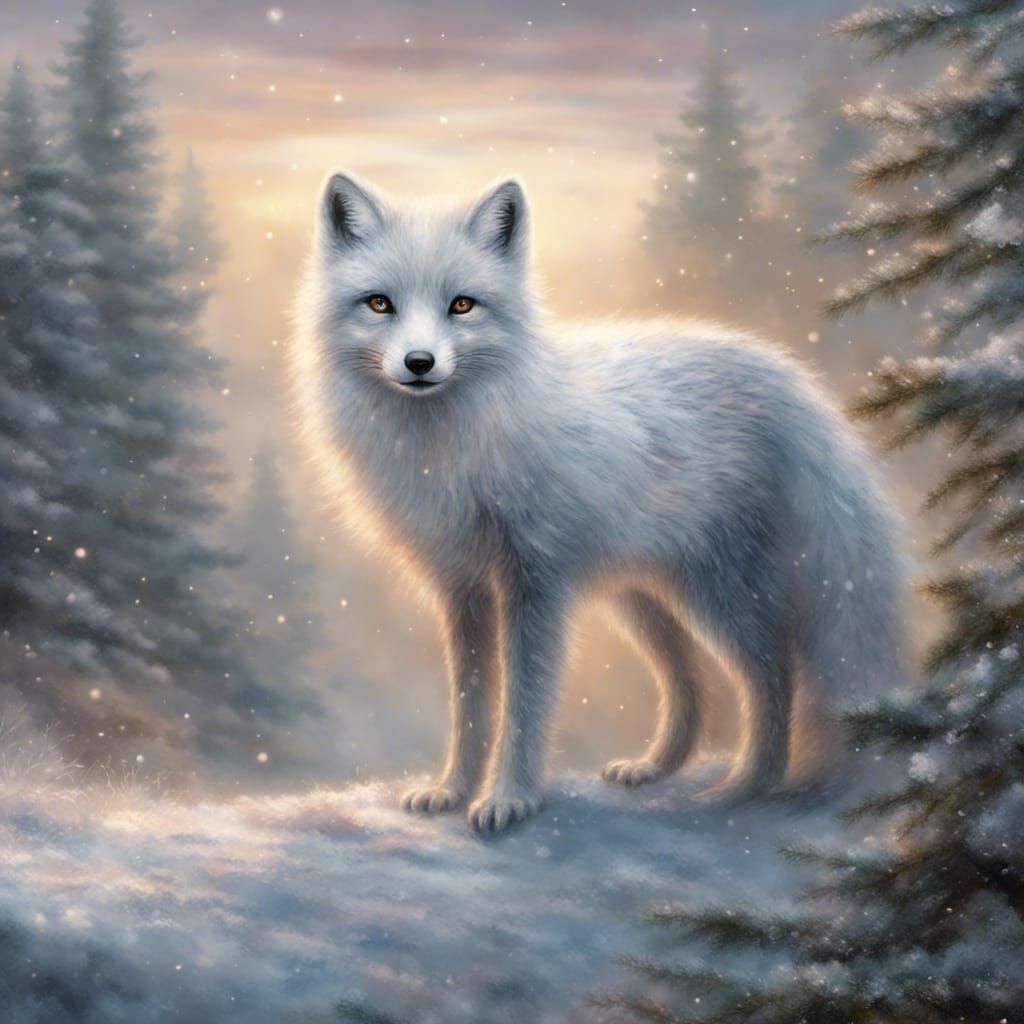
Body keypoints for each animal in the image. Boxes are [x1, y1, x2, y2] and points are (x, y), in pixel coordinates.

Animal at [290, 171, 905, 833]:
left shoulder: (536, 582)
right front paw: (452, 789)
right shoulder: (462, 586)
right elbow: (471, 703)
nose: (420, 363)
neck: (451, 447)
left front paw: (510, 798)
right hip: (641, 597)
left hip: (721, 593)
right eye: (380, 304)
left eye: (462, 305)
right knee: (692, 682)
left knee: (773, 674)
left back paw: (744, 788)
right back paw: (656, 768)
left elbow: (527, 700)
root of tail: (797, 385)